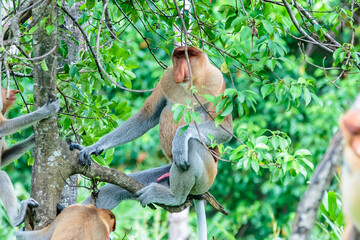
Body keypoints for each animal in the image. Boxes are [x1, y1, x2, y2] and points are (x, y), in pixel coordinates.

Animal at [0, 86, 59, 227]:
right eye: (4, 89)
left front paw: (33, 137)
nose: (14, 92)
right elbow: (2, 127)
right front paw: (47, 110)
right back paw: (16, 219)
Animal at [71, 46, 233, 239]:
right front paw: (93, 147)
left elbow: (225, 130)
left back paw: (174, 196)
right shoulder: (167, 78)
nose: (180, 72)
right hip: (165, 175)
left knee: (192, 145)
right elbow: (146, 116)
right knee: (112, 190)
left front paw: (180, 138)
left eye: (187, 58)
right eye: (177, 58)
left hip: (208, 174)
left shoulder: (216, 81)